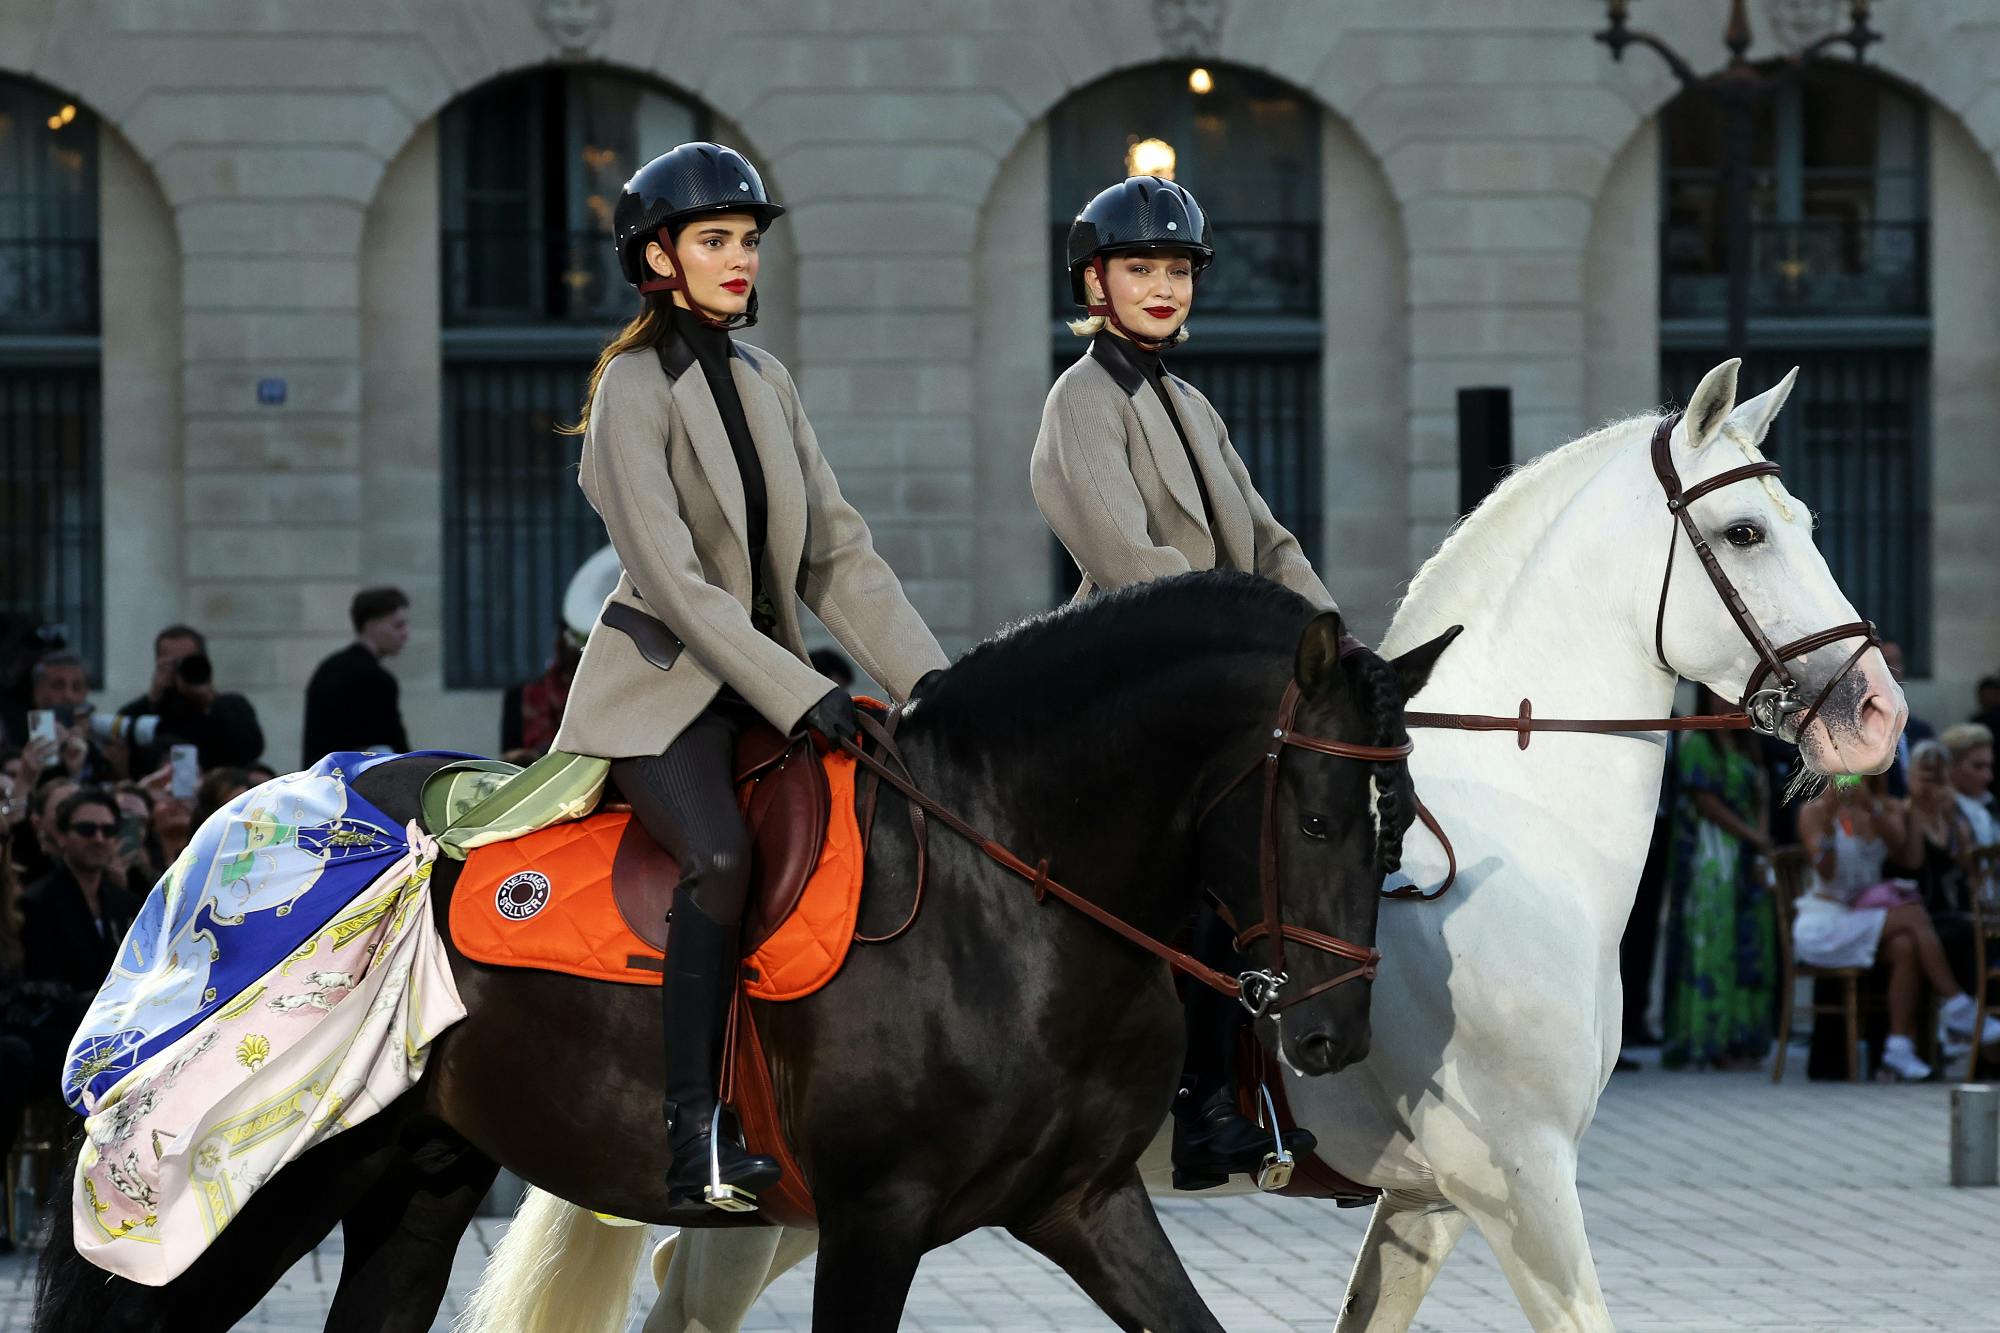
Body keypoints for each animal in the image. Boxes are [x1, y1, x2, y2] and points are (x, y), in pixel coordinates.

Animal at [39, 572, 1448, 1328]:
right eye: (1314, 816)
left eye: (1396, 822)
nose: (1332, 1033)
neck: (1011, 896)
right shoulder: (876, 1217)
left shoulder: (1085, 1204)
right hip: (260, 1187)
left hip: (417, 1174)